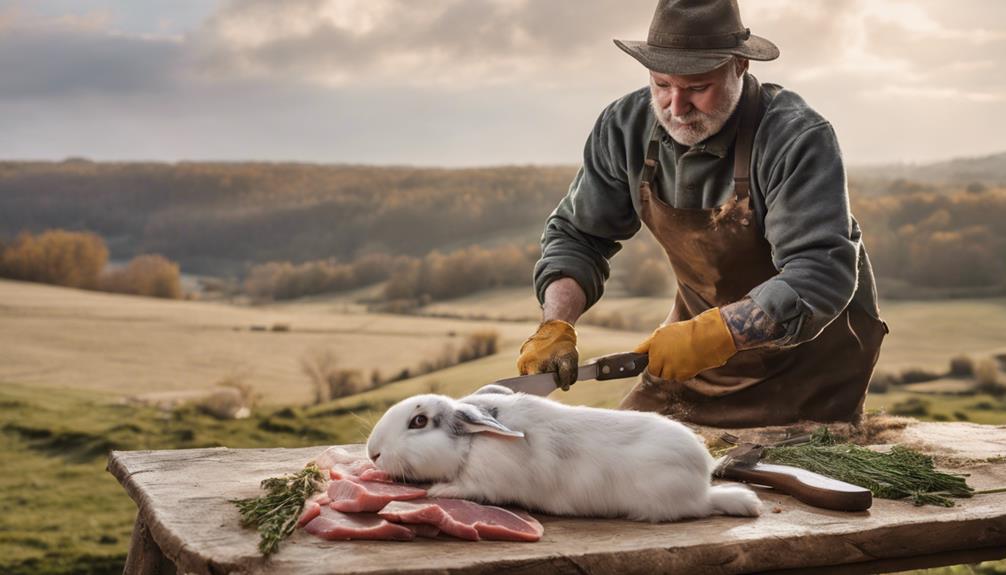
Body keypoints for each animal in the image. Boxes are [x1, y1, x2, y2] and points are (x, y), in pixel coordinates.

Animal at [366, 384, 756, 522]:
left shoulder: (487, 482)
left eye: (419, 421)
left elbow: (467, 489)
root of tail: (702, 479)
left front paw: (437, 491)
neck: (472, 446)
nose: (373, 454)